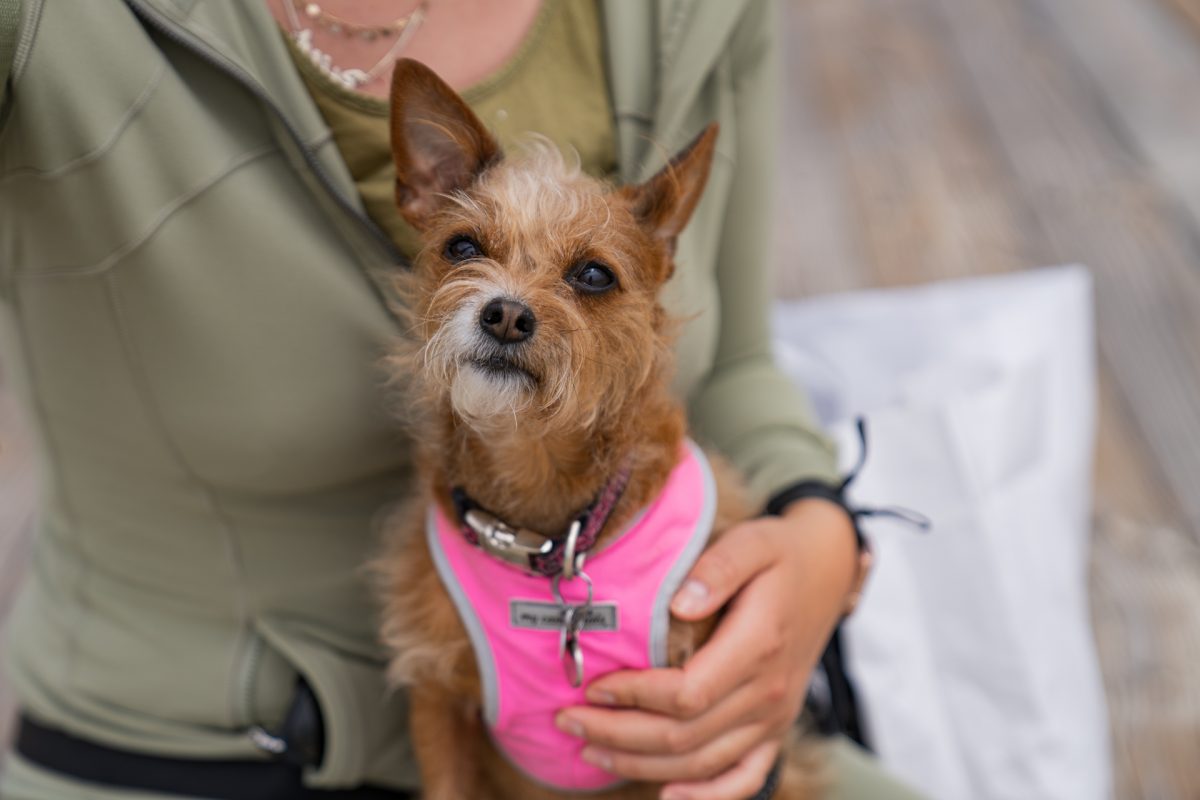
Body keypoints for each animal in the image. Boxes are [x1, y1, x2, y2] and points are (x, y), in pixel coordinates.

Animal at [376, 57, 825, 800]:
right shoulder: (438, 706)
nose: (505, 315)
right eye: (462, 246)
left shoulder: (701, 741)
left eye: (593, 274)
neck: (547, 526)